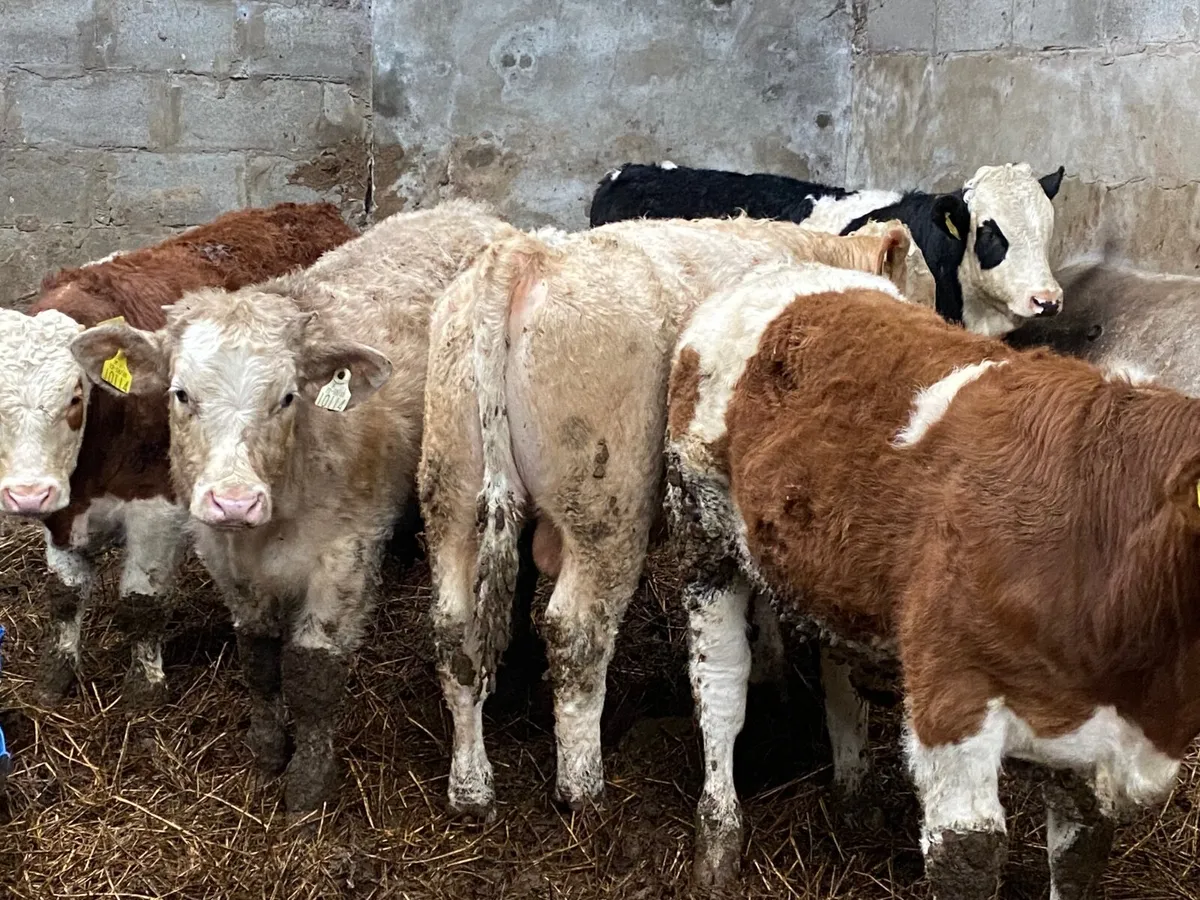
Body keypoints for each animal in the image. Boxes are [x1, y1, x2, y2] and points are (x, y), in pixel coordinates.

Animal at [0, 202, 356, 707]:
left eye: (74, 397)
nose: (26, 495)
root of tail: (311, 209)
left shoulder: (158, 509)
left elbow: (142, 603)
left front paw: (144, 690)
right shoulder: (63, 508)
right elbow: (64, 595)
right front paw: (54, 677)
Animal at [69, 200, 509, 812]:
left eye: (286, 397)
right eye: (181, 394)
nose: (234, 500)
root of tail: (466, 209)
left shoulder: (343, 562)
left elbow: (312, 674)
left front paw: (308, 780)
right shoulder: (226, 558)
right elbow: (258, 660)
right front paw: (266, 749)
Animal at [417, 215, 913, 821]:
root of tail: (526, 256)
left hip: (452, 497)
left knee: (454, 631)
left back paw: (470, 787)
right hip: (607, 513)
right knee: (576, 632)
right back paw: (584, 788)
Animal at [665, 261, 1200, 899]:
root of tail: (777, 270)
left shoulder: (1090, 745)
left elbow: (1077, 856)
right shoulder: (953, 700)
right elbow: (967, 858)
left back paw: (854, 794)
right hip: (702, 528)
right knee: (720, 686)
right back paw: (718, 840)